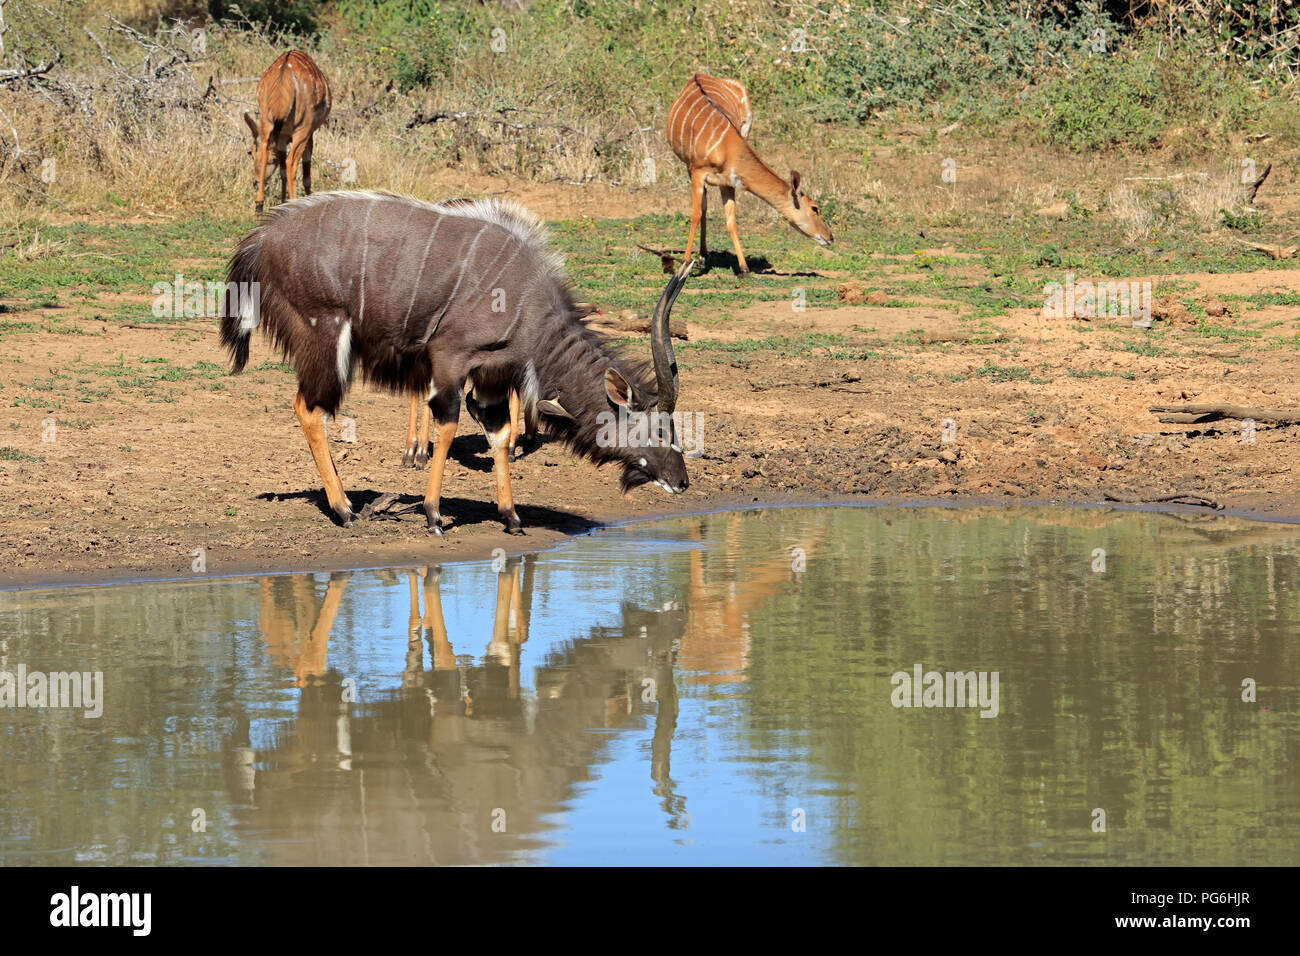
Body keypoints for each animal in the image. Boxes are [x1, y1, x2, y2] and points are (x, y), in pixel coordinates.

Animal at [222, 192, 691, 538]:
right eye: (661, 430)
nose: (683, 481)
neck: (527, 304)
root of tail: (259, 241)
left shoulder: (492, 377)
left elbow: (499, 435)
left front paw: (511, 517)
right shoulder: (450, 360)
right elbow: (447, 425)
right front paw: (433, 515)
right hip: (326, 338)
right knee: (307, 407)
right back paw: (344, 509)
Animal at [244, 51, 332, 214]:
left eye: (251, 153)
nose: (255, 182)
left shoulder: (282, 138)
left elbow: (282, 170)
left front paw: (282, 202)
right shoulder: (309, 134)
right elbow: (305, 173)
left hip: (266, 121)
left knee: (269, 152)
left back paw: (259, 207)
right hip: (303, 128)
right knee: (291, 162)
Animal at [665, 74, 837, 273]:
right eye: (814, 208)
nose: (830, 237)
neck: (727, 148)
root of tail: (698, 75)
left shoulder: (728, 181)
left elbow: (731, 221)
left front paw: (744, 269)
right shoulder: (698, 172)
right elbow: (694, 215)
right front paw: (684, 266)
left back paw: (704, 256)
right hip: (688, 166)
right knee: (702, 206)